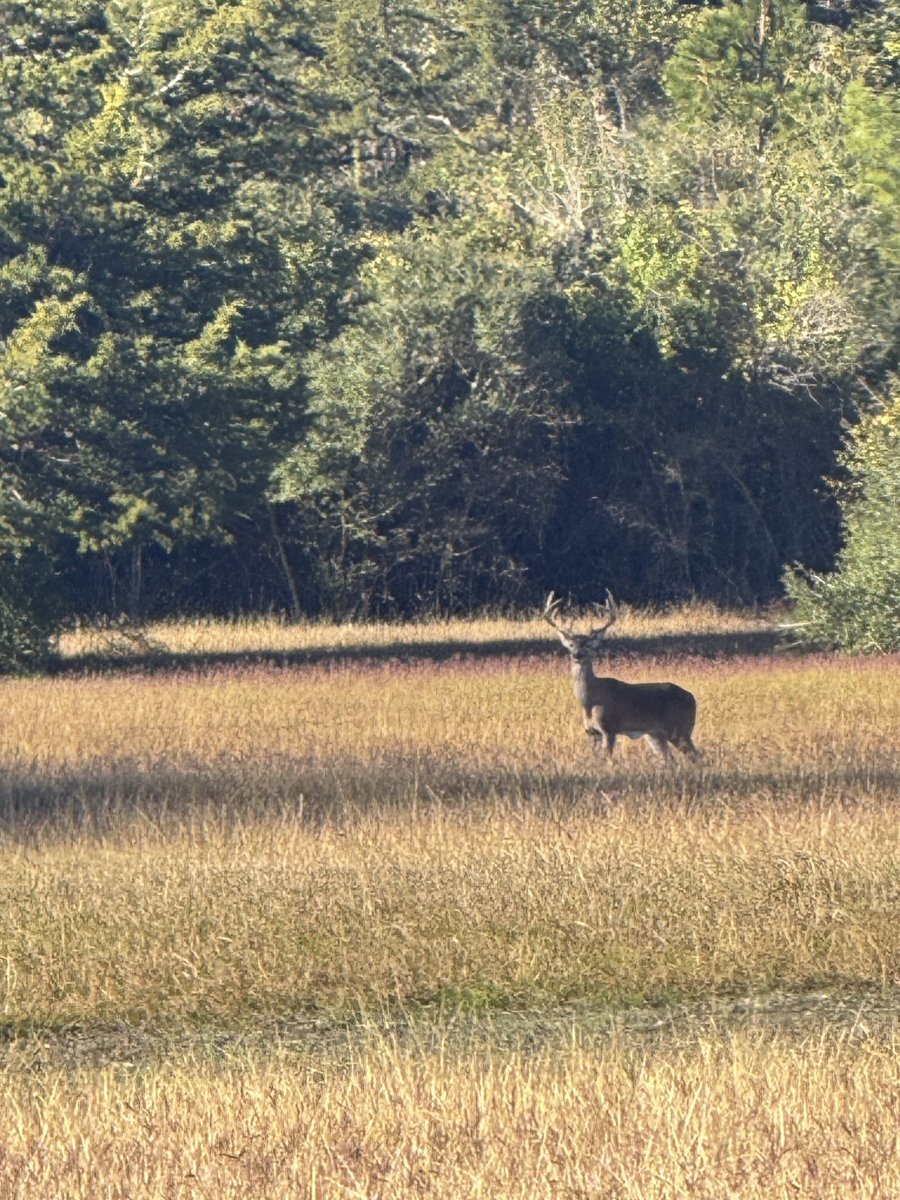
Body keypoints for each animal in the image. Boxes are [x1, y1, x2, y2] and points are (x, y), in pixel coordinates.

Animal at [543, 591, 699, 760]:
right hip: (655, 734)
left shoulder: (609, 727)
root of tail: (693, 698)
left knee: (696, 756)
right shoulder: (592, 733)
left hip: (680, 729)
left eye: (589, 645)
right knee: (670, 759)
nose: (577, 655)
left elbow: (609, 759)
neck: (590, 700)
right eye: (571, 645)